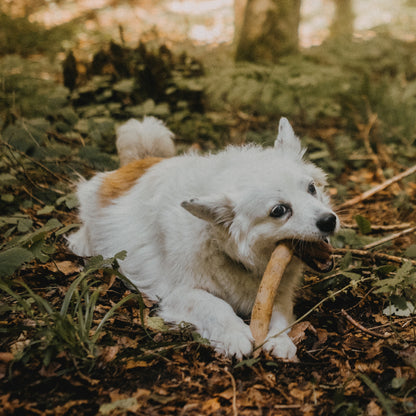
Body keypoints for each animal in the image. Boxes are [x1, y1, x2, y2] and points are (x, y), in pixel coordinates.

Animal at [68, 115, 340, 360]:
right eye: (279, 210)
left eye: (311, 188)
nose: (330, 221)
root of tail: (143, 160)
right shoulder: (179, 292)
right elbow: (216, 305)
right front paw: (234, 335)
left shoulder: (277, 293)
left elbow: (278, 314)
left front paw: (280, 340)